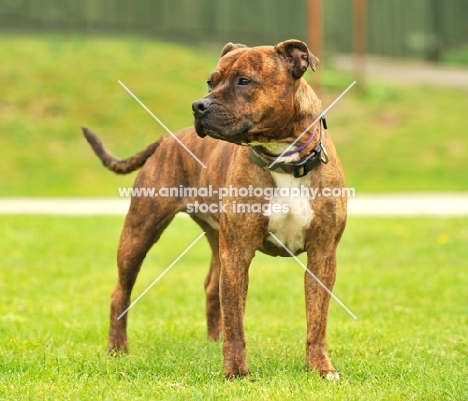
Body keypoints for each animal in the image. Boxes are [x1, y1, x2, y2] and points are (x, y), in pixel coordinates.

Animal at [83, 38, 348, 378]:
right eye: (211, 82)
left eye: (244, 81)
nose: (198, 105)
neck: (283, 158)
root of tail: (166, 140)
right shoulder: (237, 254)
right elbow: (236, 321)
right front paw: (236, 371)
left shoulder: (322, 254)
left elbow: (317, 319)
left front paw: (320, 367)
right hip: (139, 233)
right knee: (121, 293)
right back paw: (117, 349)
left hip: (214, 239)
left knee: (211, 287)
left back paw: (212, 341)